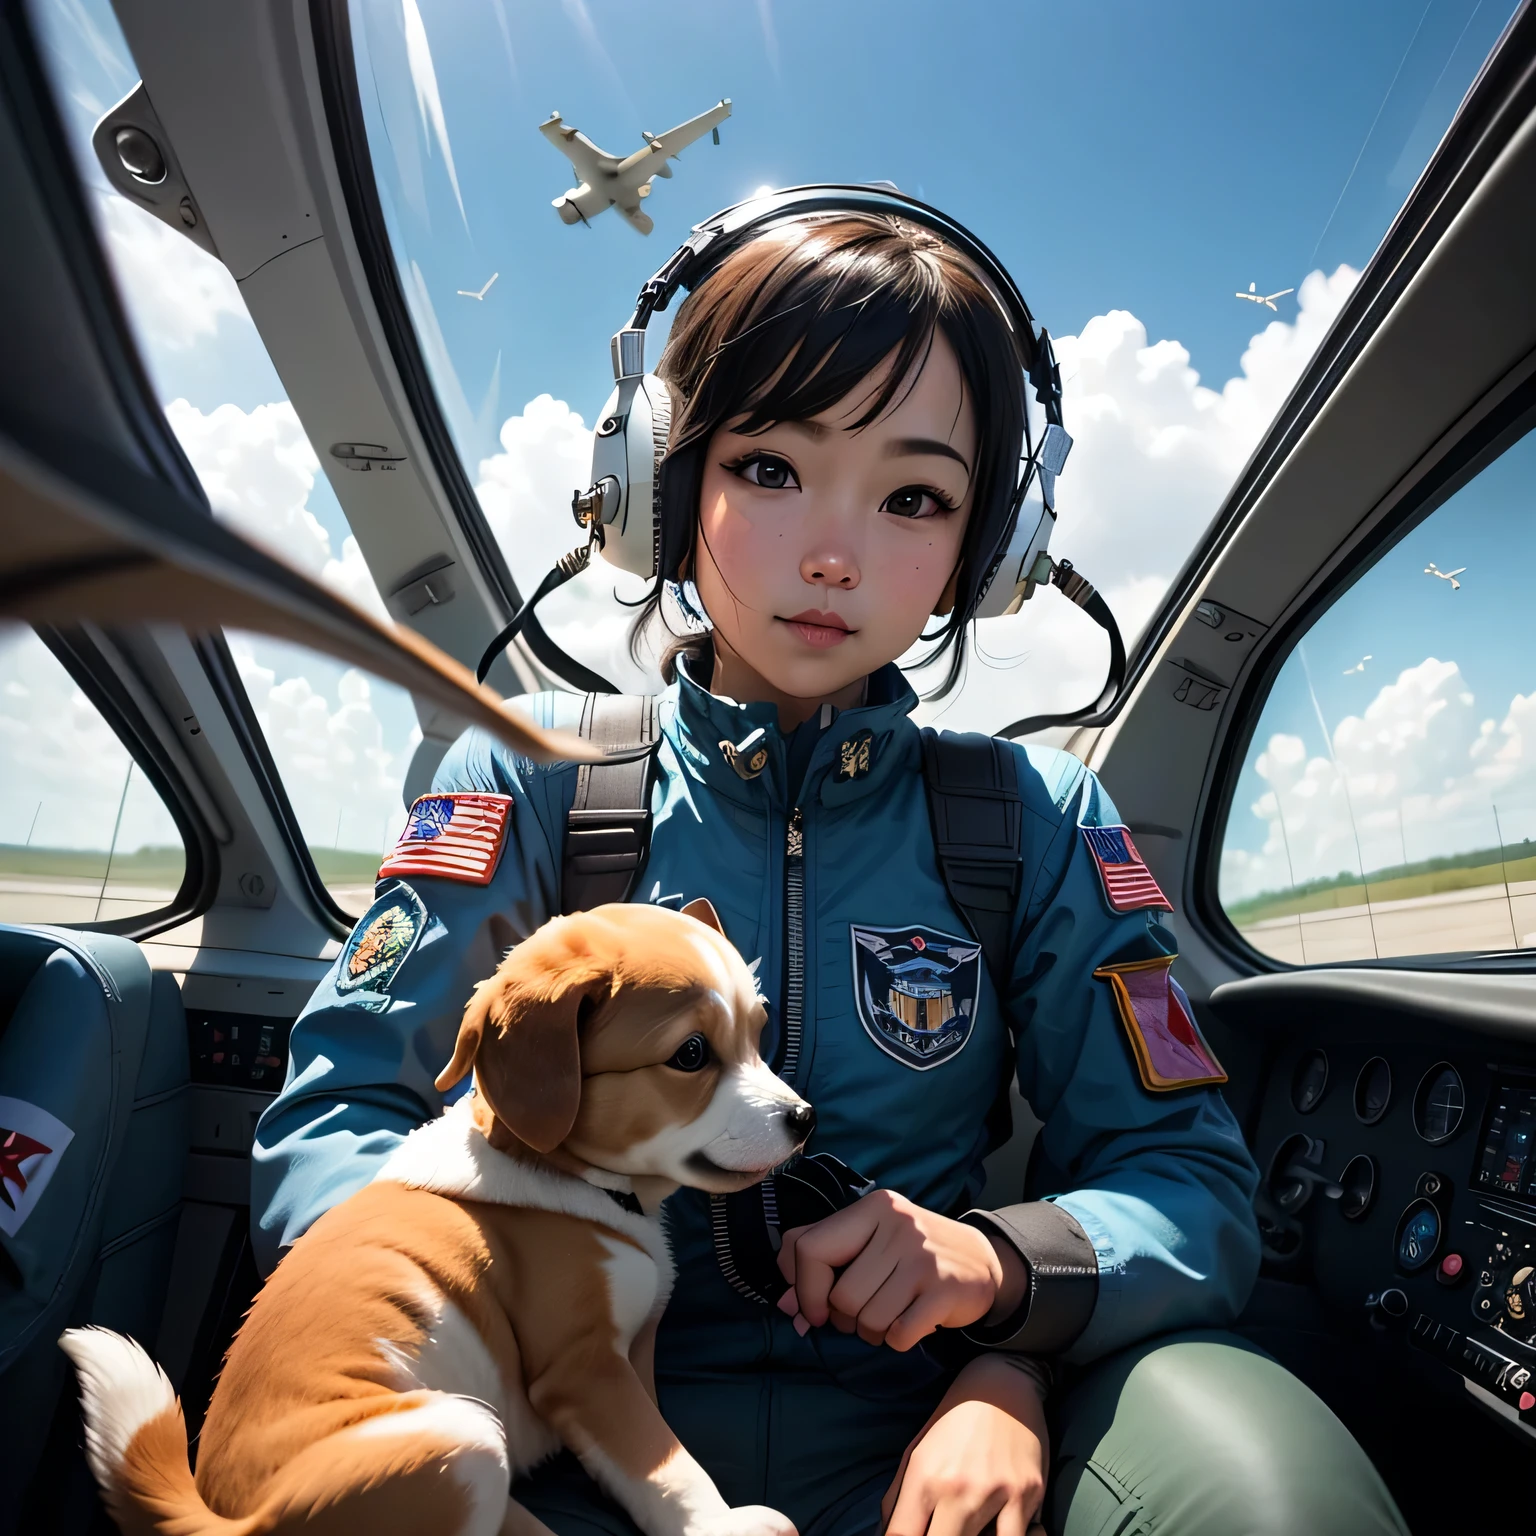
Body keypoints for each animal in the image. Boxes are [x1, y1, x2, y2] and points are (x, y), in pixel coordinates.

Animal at [62, 897, 817, 1536]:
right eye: (690, 1055)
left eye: (758, 1034)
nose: (804, 1119)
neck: (574, 1179)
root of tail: (227, 1519)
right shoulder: (585, 1368)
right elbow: (665, 1462)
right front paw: (723, 1525)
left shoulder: (634, 1352)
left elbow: (651, 1452)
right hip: (462, 1439)